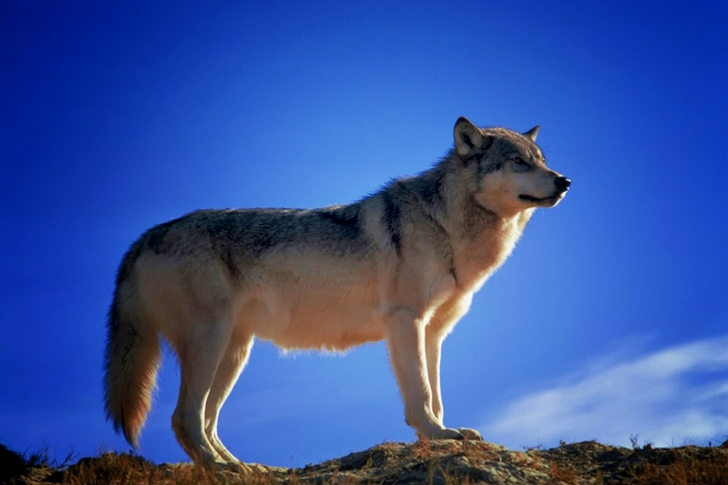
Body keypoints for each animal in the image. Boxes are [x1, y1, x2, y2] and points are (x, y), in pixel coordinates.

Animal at [104, 117, 570, 469]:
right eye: (518, 162)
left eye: (541, 161)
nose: (565, 181)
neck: (445, 225)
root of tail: (144, 237)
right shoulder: (405, 322)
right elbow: (420, 394)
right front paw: (436, 436)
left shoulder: (434, 333)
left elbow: (436, 395)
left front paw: (442, 434)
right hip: (211, 342)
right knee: (185, 418)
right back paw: (221, 469)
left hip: (234, 353)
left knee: (206, 421)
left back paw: (244, 467)